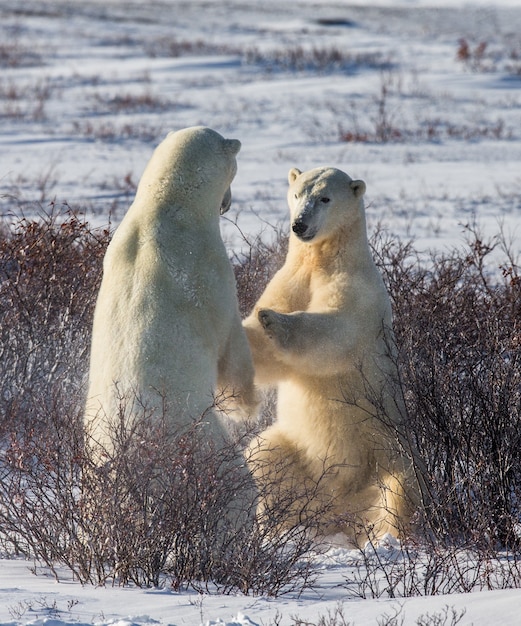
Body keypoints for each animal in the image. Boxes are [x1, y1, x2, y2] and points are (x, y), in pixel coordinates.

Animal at [84, 128, 260, 458]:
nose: (227, 203)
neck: (167, 206)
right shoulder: (208, 268)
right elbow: (231, 344)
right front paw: (247, 408)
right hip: (200, 435)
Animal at [242, 165, 416, 540]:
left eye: (324, 198)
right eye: (296, 194)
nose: (299, 225)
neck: (322, 256)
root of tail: (340, 509)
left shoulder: (357, 288)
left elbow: (337, 328)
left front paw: (273, 320)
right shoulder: (293, 276)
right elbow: (263, 356)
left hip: (389, 454)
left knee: (401, 492)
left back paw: (387, 534)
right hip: (299, 454)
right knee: (263, 456)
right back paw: (278, 524)